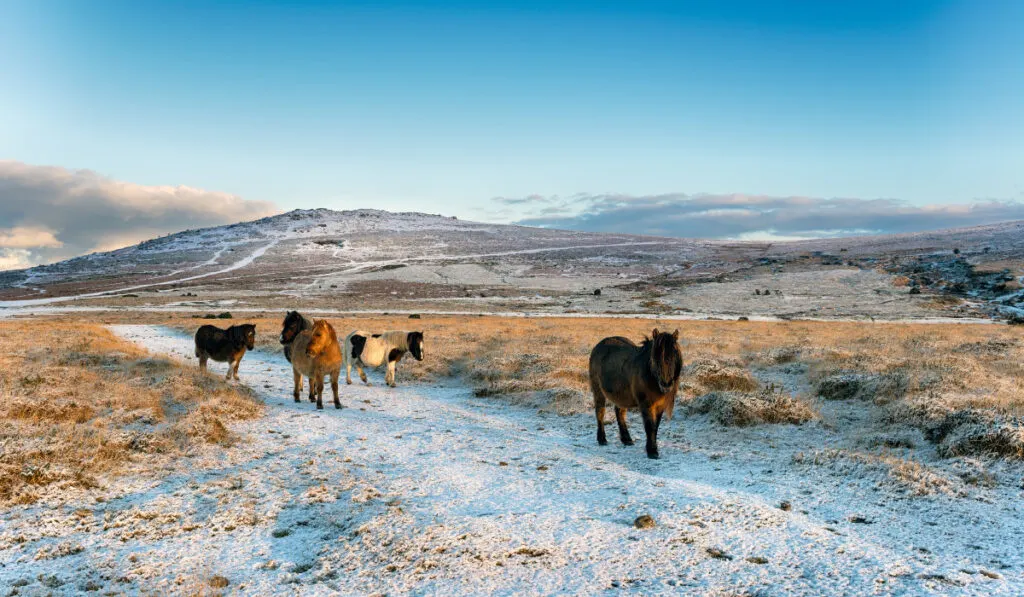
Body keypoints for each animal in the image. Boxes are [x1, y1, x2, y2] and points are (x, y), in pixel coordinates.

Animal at [589, 329, 684, 460]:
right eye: (655, 358)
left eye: (674, 355)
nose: (666, 384)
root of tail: (599, 345)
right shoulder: (646, 405)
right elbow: (650, 426)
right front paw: (652, 451)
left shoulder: (660, 406)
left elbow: (656, 426)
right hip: (598, 390)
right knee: (600, 412)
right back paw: (602, 439)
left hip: (621, 395)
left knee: (620, 413)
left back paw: (626, 440)